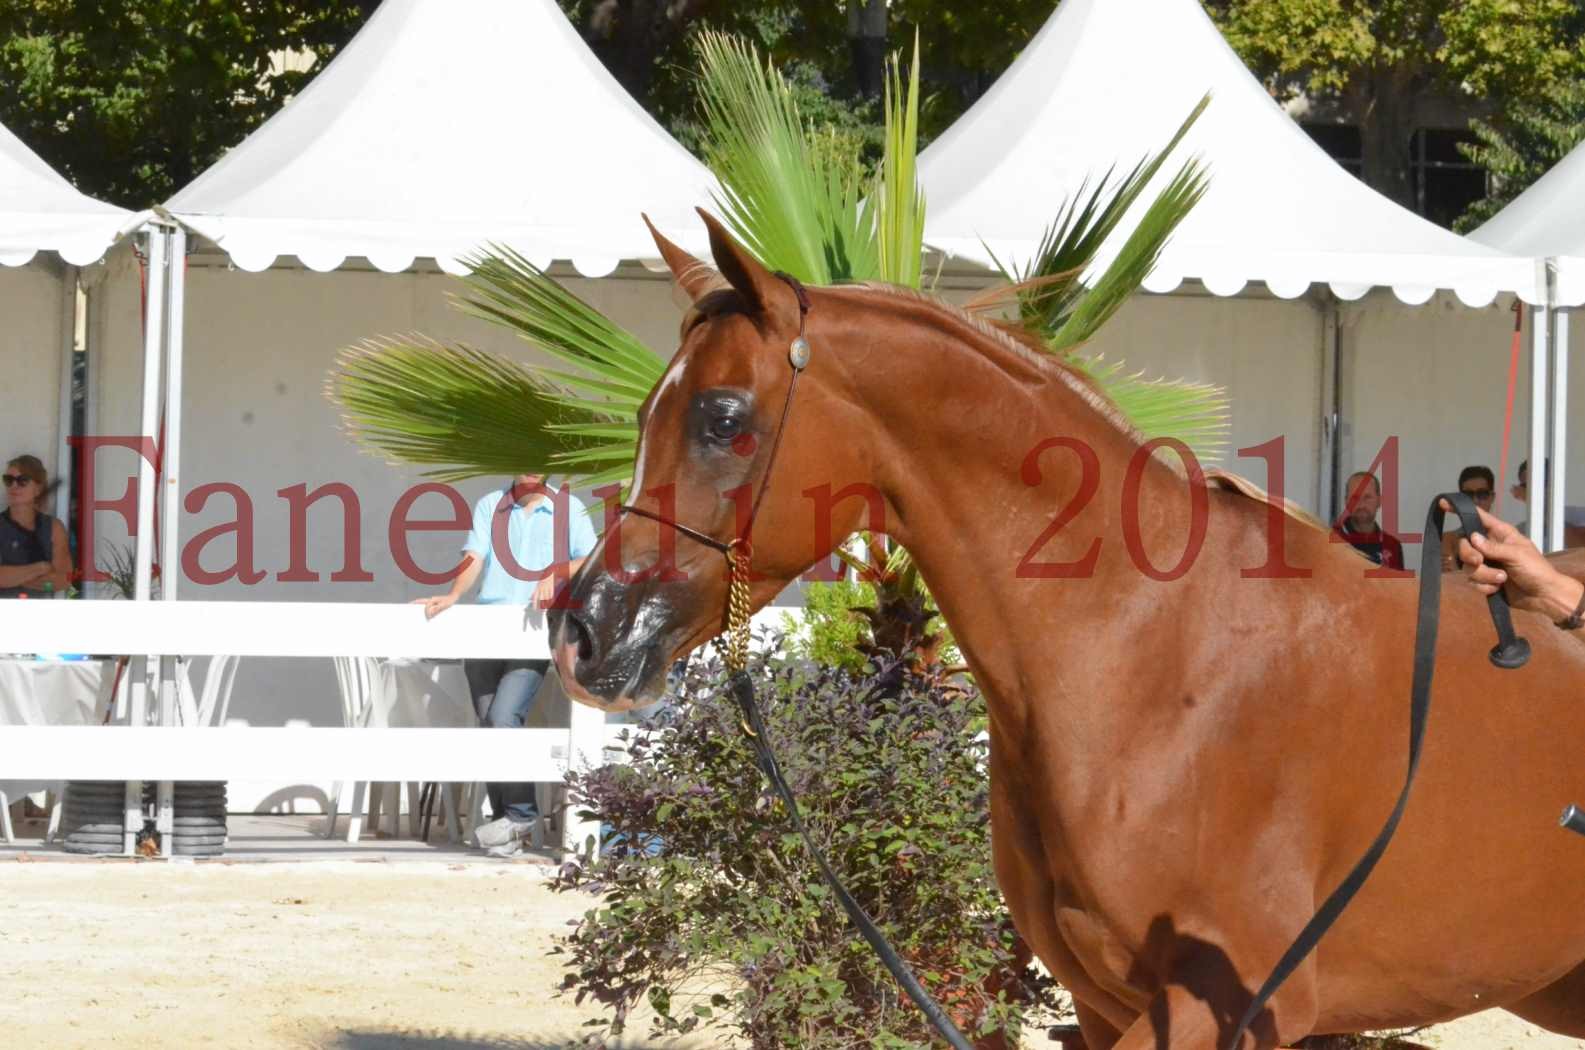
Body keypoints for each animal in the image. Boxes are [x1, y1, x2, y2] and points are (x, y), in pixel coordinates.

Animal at [548, 214, 1585, 1050]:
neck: (1151, 661)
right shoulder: (1102, 1003)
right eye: (643, 412)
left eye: (724, 418)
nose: (586, 631)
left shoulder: (1221, 1009)